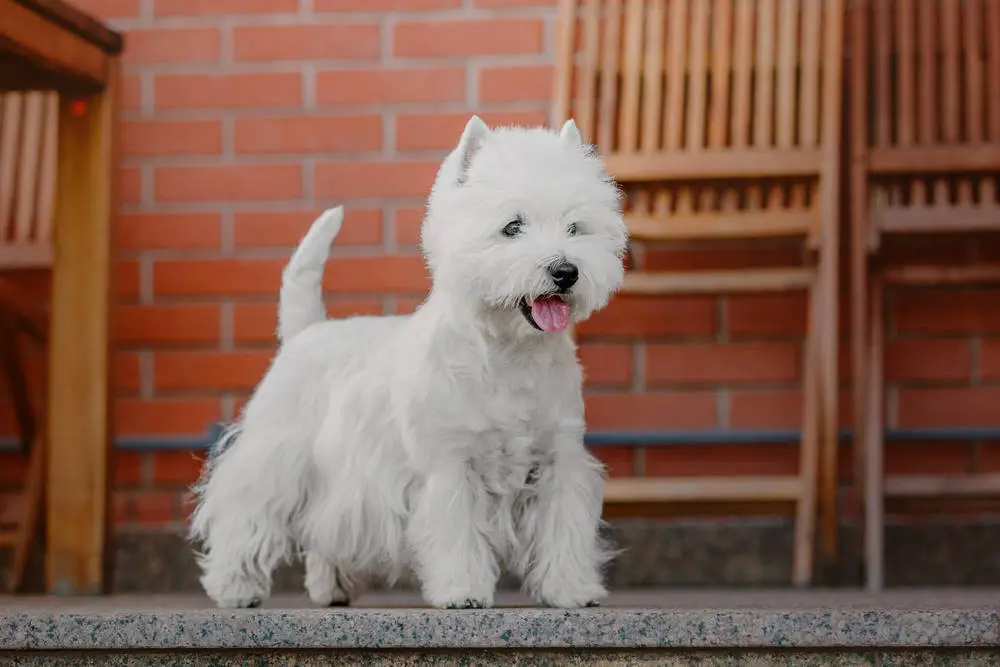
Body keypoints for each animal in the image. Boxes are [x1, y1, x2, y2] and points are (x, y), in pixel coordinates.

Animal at [188, 116, 624, 612]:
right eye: (512, 226)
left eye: (576, 227)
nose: (565, 272)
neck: (510, 356)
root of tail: (304, 330)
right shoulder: (451, 463)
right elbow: (457, 532)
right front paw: (462, 592)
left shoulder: (559, 459)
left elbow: (563, 528)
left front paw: (572, 590)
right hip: (277, 455)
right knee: (246, 513)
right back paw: (234, 588)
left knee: (326, 528)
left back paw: (332, 587)